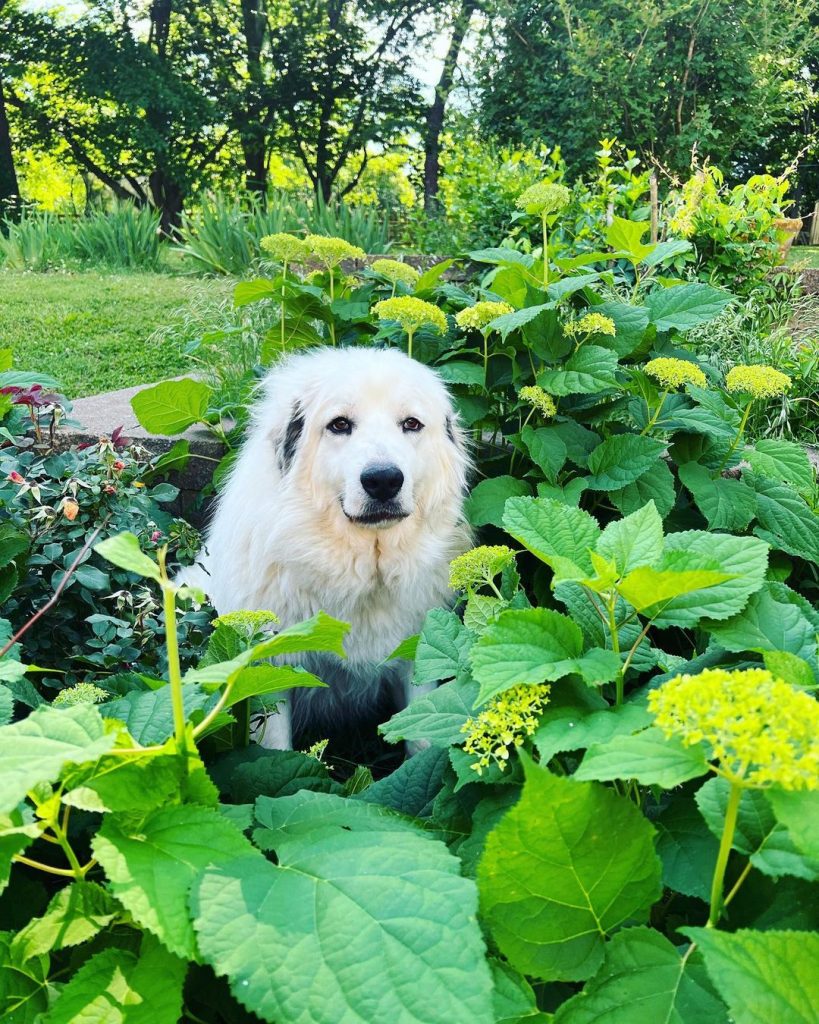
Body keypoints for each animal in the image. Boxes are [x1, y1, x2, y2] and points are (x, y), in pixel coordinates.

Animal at [192, 348, 470, 749]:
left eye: (411, 424)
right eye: (339, 425)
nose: (383, 480)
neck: (359, 569)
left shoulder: (415, 654)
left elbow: (421, 739)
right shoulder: (273, 667)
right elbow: (278, 748)